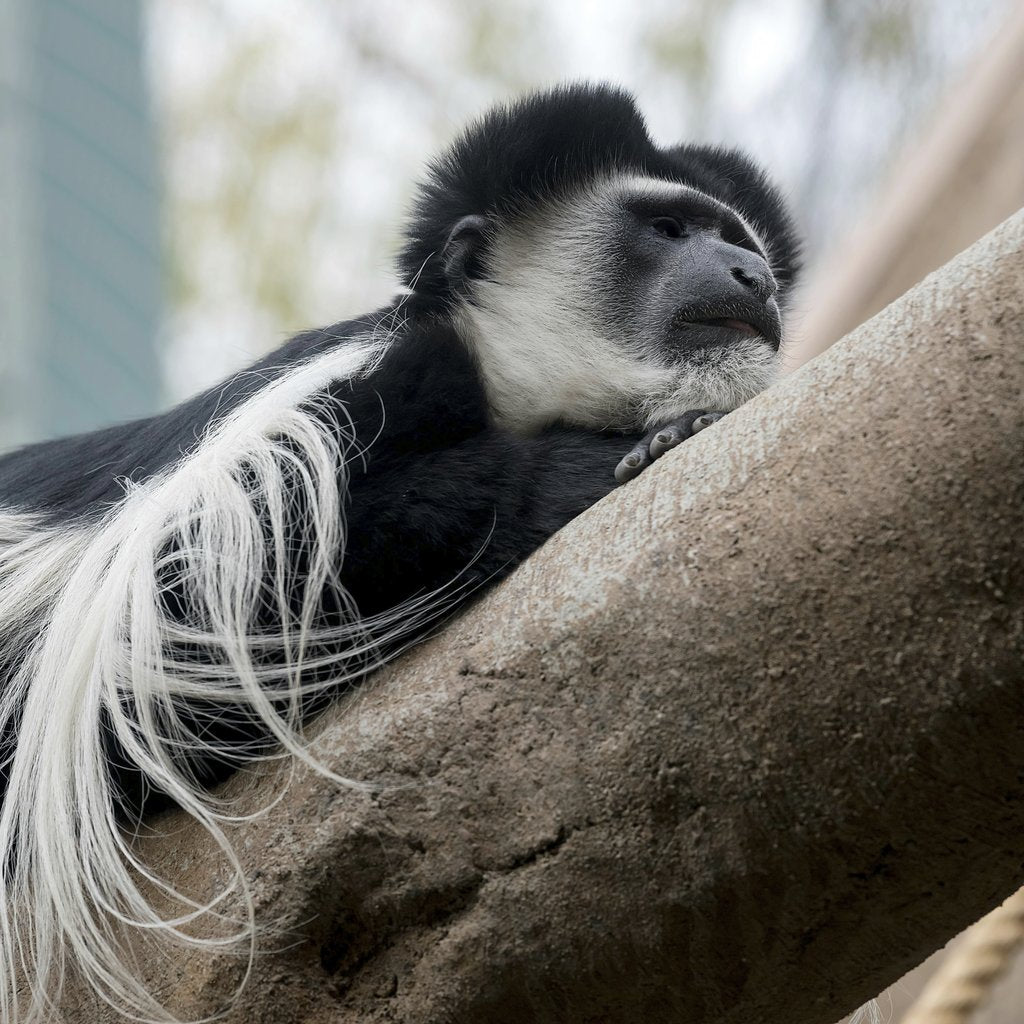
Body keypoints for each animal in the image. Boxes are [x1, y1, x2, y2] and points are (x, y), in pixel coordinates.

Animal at [0, 83, 799, 1021]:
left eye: (737, 239)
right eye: (670, 229)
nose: (753, 276)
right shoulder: (344, 402)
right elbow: (200, 611)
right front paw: (611, 455)